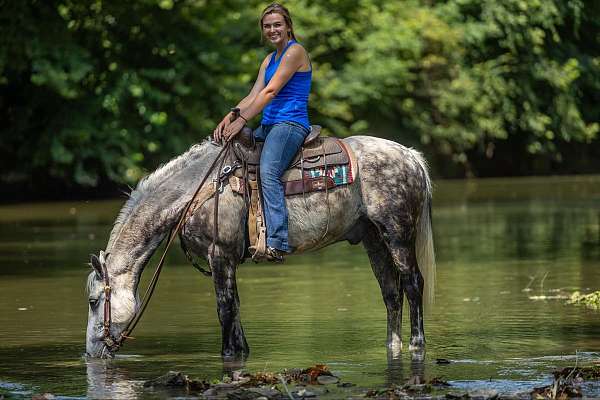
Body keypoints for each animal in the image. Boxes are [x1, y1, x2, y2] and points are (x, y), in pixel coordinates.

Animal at [85, 134, 436, 360]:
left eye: (92, 301)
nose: (90, 352)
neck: (199, 190)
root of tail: (411, 156)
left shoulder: (220, 255)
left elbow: (225, 308)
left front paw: (227, 353)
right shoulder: (226, 260)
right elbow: (237, 307)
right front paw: (242, 350)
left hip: (397, 234)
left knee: (413, 283)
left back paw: (417, 345)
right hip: (373, 239)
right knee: (391, 293)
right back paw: (392, 347)